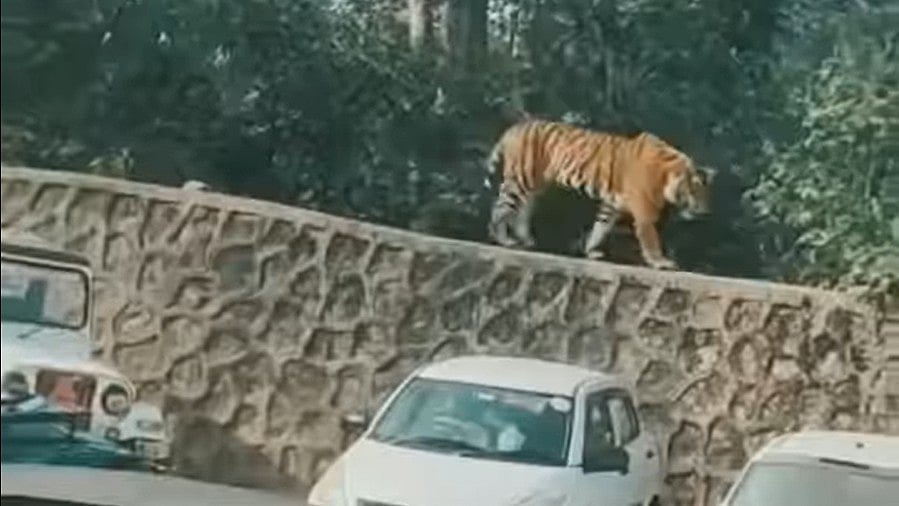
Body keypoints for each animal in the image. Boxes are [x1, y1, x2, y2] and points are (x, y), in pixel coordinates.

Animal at [484, 119, 714, 270]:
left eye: (705, 192)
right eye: (695, 191)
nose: (705, 210)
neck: (665, 176)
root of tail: (516, 127)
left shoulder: (612, 204)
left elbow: (601, 227)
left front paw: (590, 250)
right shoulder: (644, 214)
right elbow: (651, 239)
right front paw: (660, 262)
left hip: (535, 185)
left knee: (521, 210)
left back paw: (526, 239)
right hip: (521, 179)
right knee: (500, 207)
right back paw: (503, 239)